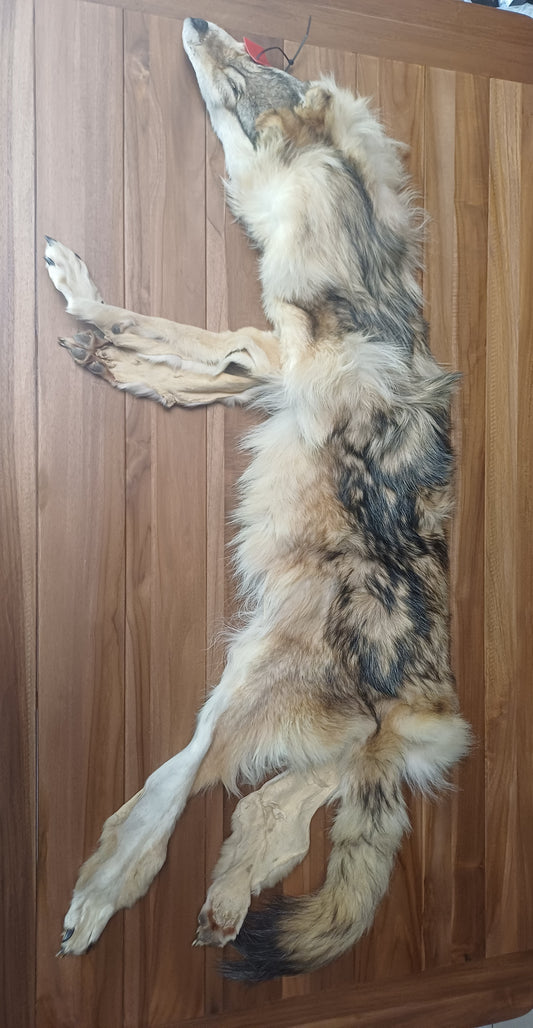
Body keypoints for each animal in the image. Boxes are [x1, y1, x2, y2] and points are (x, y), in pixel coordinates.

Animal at [44, 17, 470, 981]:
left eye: (249, 64)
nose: (198, 22)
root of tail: (425, 713)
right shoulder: (266, 363)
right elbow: (187, 363)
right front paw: (112, 355)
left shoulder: (278, 352)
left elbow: (176, 333)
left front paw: (90, 308)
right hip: (300, 717)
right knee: (283, 801)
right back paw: (229, 892)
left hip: (242, 683)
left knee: (178, 795)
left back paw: (104, 895)